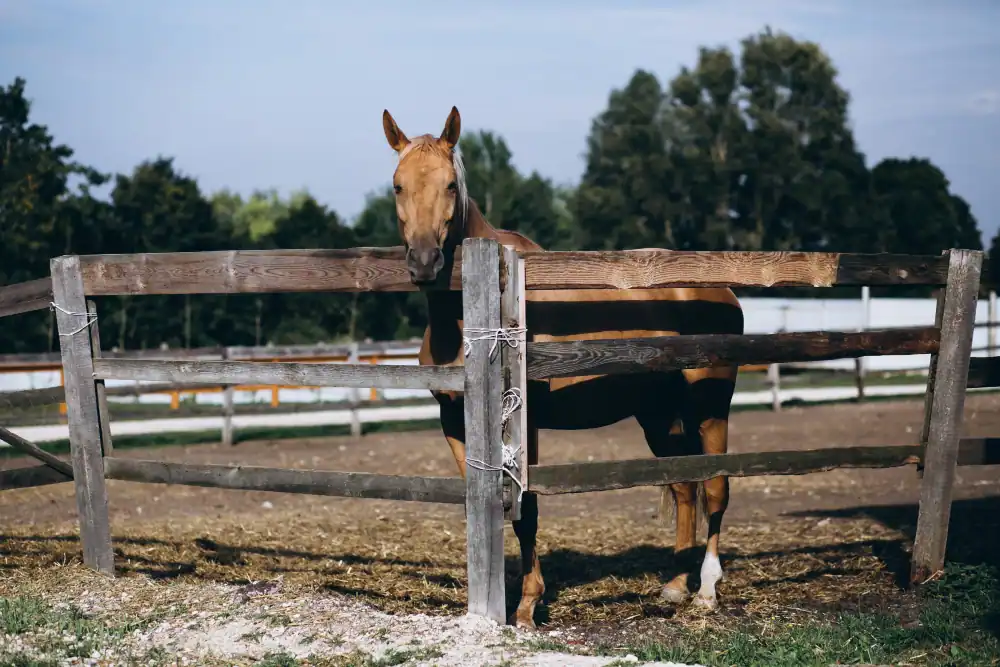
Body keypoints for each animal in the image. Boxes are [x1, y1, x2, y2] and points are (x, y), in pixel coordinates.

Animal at [381, 106, 744, 629]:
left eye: (451, 184)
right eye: (397, 185)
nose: (425, 261)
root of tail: (721, 290)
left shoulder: (523, 422)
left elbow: (528, 507)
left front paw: (528, 604)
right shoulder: (454, 422)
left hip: (709, 407)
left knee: (715, 488)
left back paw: (708, 591)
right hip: (660, 415)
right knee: (681, 486)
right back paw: (676, 587)